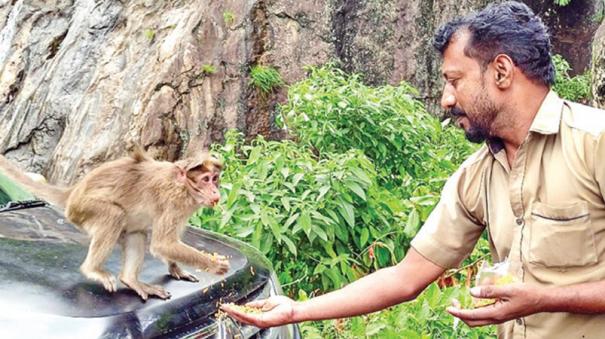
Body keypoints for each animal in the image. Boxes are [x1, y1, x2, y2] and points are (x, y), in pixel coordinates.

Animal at [0, 147, 230, 302]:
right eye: (206, 179)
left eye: (215, 179)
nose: (215, 191)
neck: (183, 186)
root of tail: (72, 192)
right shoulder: (173, 200)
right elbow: (162, 244)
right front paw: (214, 265)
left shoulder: (184, 208)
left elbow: (165, 244)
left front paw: (175, 268)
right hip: (83, 209)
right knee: (114, 215)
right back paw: (92, 269)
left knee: (137, 233)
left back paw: (130, 280)